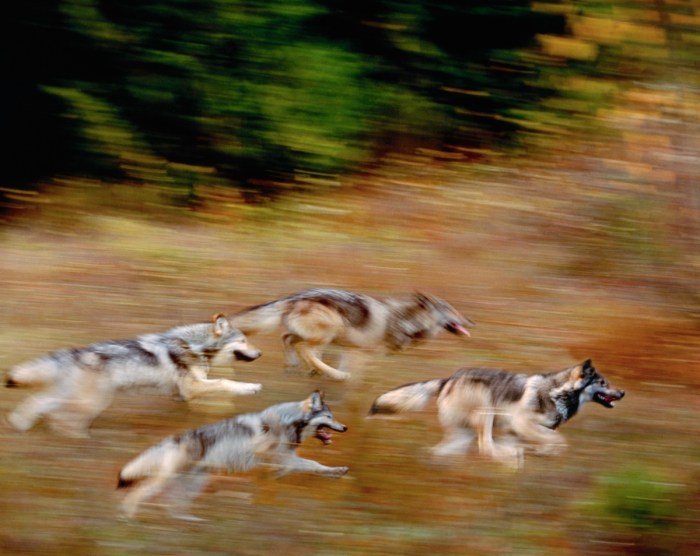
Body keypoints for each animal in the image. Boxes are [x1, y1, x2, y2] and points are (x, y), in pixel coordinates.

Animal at [5, 314, 262, 436]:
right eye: (243, 341)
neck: (194, 345)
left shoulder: (187, 390)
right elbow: (226, 382)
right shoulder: (193, 387)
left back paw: (20, 426)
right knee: (60, 418)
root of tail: (74, 353)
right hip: (91, 402)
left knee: (37, 402)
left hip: (75, 397)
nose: (260, 353)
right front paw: (251, 388)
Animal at [117, 391, 348, 521]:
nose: (345, 428)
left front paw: (337, 471)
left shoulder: (284, 456)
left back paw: (189, 522)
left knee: (174, 504)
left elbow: (313, 465)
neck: (289, 421)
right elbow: (308, 464)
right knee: (137, 493)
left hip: (194, 483)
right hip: (172, 481)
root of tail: (178, 438)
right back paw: (129, 520)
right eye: (329, 417)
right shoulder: (275, 455)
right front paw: (276, 475)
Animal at [228, 288, 473, 381]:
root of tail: (294, 297)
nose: (472, 321)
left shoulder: (353, 350)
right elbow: (355, 373)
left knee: (289, 340)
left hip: (319, 335)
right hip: (329, 331)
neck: (404, 320)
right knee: (303, 348)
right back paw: (332, 374)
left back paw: (299, 368)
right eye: (450, 309)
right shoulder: (361, 352)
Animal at [369, 359, 624, 467]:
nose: (622, 392)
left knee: (441, 452)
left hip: (463, 435)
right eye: (603, 382)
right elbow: (560, 440)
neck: (557, 393)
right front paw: (540, 452)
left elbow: (550, 441)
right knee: (484, 445)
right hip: (486, 410)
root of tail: (448, 379)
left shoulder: (515, 432)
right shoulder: (522, 423)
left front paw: (536, 454)